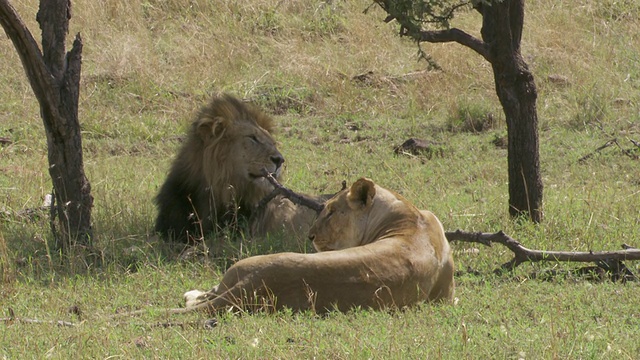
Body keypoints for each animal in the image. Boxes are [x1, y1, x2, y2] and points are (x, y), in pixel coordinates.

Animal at [184, 179, 456, 314]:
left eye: (332, 212)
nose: (310, 236)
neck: (410, 218)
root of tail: (254, 283)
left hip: (239, 267)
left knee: (207, 295)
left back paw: (191, 295)